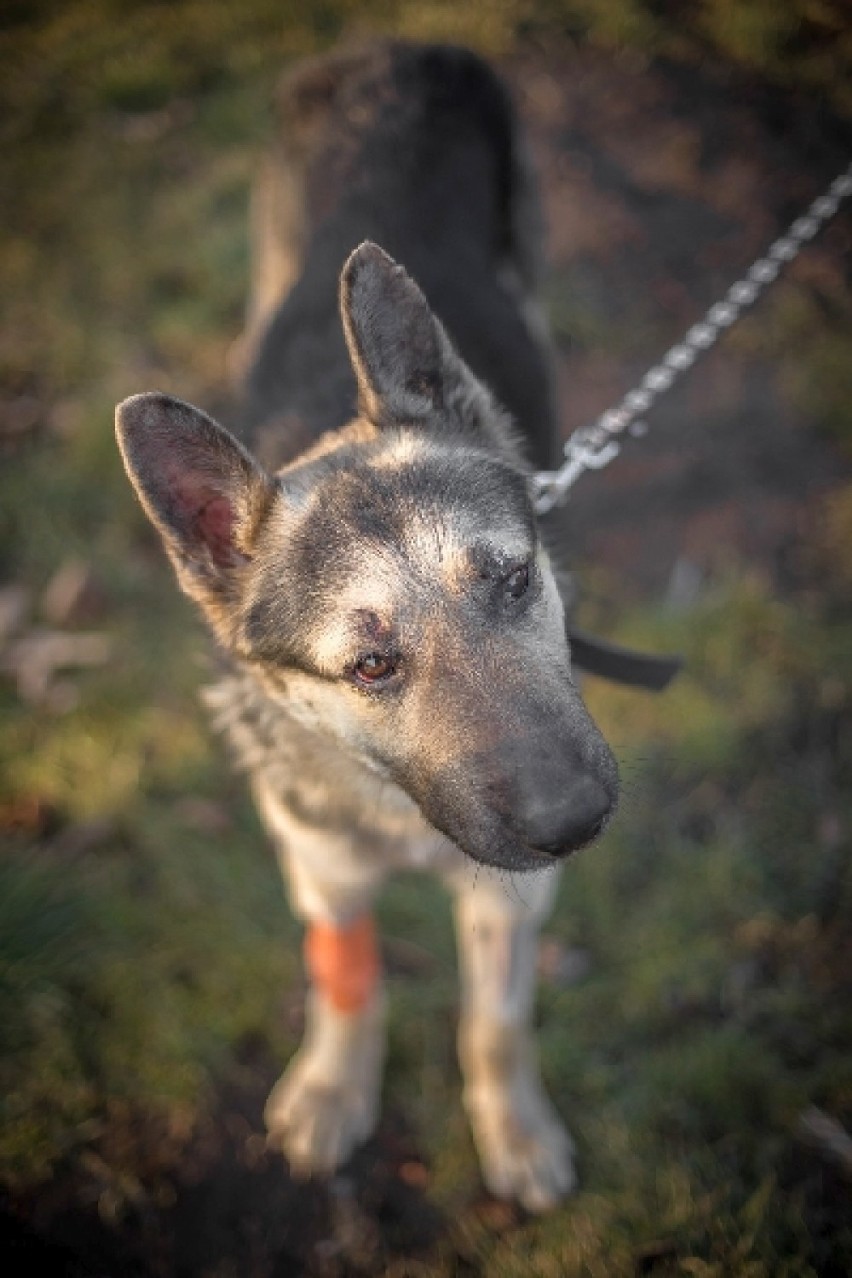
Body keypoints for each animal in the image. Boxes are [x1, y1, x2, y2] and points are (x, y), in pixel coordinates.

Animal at [114, 39, 620, 1211]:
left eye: (514, 580)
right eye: (371, 665)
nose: (577, 822)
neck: (396, 810)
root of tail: (396, 50)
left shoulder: (512, 903)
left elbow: (495, 1020)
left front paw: (515, 1131)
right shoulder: (322, 868)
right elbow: (347, 978)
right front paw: (335, 1091)